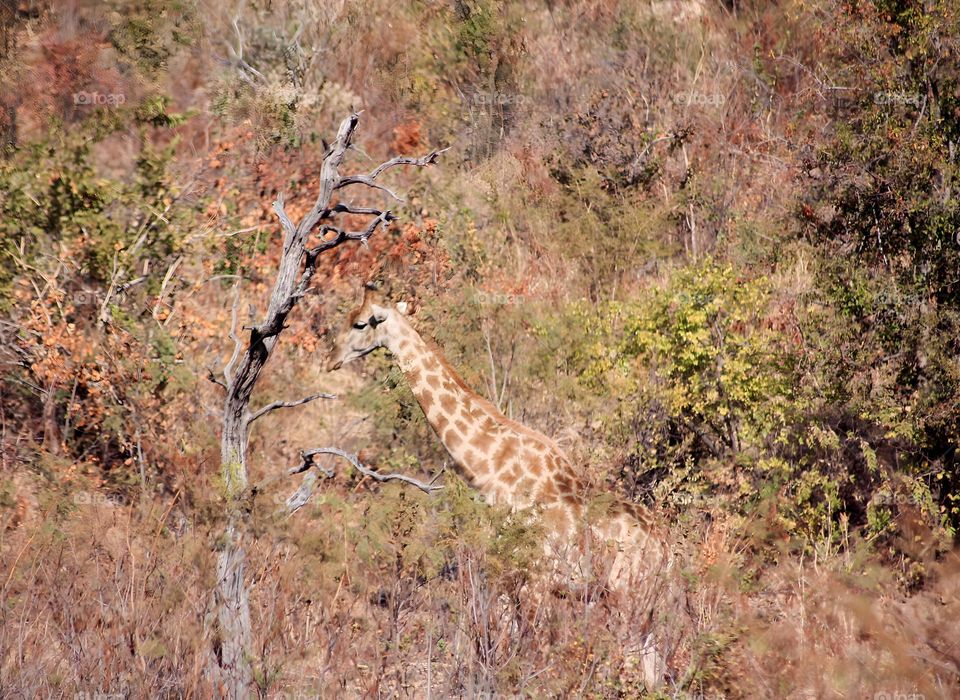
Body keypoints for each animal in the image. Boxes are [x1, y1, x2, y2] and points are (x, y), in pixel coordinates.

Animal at [326, 284, 672, 592]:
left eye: (360, 323)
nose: (330, 359)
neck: (490, 469)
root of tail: (666, 550)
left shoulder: (527, 575)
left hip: (626, 591)